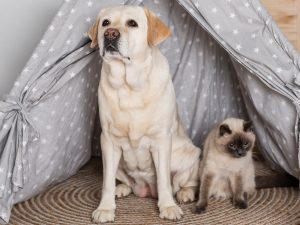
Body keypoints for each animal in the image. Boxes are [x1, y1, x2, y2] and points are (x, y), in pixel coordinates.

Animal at [89, 5, 202, 223]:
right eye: (105, 23)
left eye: (132, 23)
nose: (110, 34)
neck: (129, 86)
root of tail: (147, 190)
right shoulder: (108, 141)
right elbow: (107, 182)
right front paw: (105, 208)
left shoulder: (161, 141)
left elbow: (164, 180)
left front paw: (168, 207)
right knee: (122, 181)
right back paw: (122, 188)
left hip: (191, 156)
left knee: (184, 182)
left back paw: (185, 193)